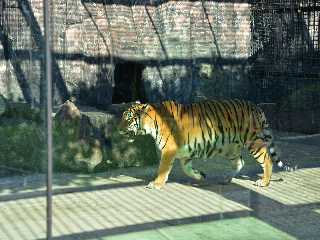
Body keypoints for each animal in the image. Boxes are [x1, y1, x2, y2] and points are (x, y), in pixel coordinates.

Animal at [119, 99, 292, 189]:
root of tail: (255, 107)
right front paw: (200, 176)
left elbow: (162, 169)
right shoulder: (184, 154)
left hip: (253, 142)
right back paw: (226, 179)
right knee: (239, 162)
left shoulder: (169, 150)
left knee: (267, 159)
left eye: (128, 119)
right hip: (229, 148)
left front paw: (156, 184)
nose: (118, 129)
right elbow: (187, 169)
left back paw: (264, 182)